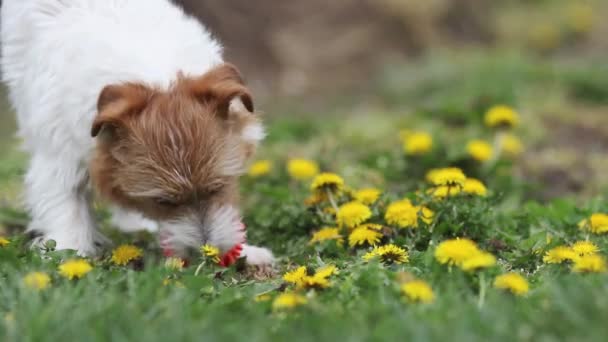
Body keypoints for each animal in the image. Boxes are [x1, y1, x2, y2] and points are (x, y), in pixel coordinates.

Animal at [0, 0, 274, 266]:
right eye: (163, 201)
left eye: (218, 187)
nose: (207, 254)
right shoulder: (58, 157)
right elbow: (66, 208)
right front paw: (70, 257)